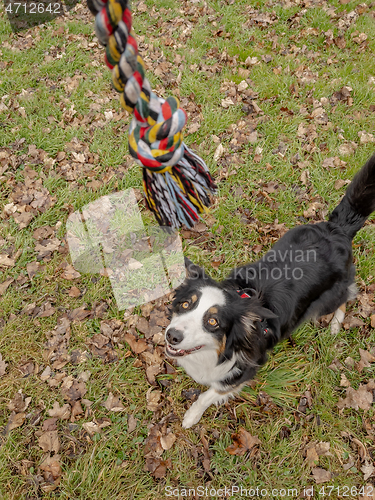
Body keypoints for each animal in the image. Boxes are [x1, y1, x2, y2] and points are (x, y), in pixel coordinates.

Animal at [164, 154, 375, 428]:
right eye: (185, 305)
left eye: (213, 322)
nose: (171, 336)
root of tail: (337, 229)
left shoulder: (242, 371)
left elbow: (209, 394)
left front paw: (191, 416)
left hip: (327, 300)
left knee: (347, 297)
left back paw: (335, 325)